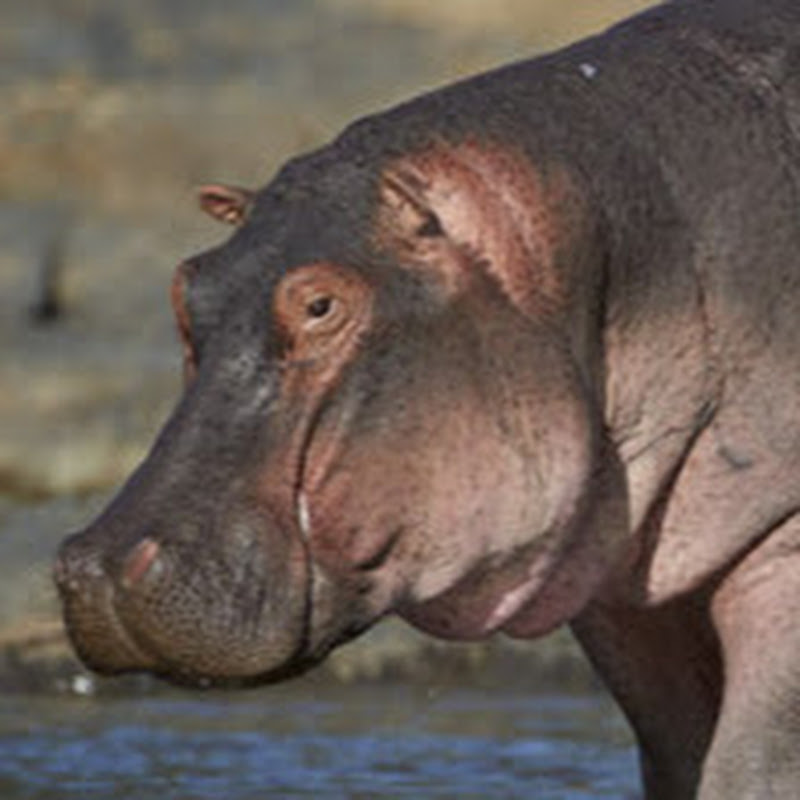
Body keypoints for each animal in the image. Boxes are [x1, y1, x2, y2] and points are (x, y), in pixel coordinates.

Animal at [54, 0, 800, 797]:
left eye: (319, 304)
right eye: (186, 281)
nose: (98, 567)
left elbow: (751, 768)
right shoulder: (625, 595)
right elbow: (676, 755)